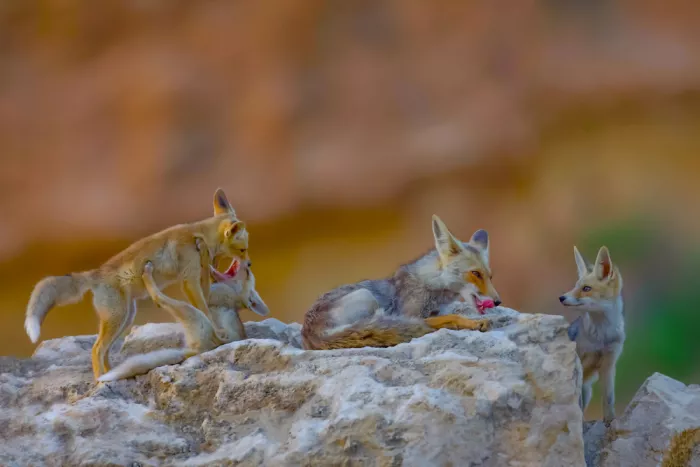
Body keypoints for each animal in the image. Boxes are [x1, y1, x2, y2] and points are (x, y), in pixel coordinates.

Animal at [25, 188, 250, 380]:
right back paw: (99, 381)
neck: (198, 234)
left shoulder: (198, 277)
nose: (249, 264)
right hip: (117, 317)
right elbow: (205, 310)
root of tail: (96, 273)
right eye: (243, 250)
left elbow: (206, 302)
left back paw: (111, 374)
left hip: (125, 318)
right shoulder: (189, 280)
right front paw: (217, 333)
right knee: (97, 349)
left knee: (105, 351)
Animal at [98, 250, 269, 382]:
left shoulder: (208, 297)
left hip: (189, 310)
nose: (249, 263)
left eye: (248, 272)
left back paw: (148, 275)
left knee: (159, 298)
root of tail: (200, 350)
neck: (234, 295)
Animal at [301, 215, 501, 350]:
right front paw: (473, 323)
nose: (498, 301)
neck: (431, 285)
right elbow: (452, 316)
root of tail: (309, 333)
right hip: (367, 297)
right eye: (475, 273)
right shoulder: (411, 314)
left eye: (490, 276)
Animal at [559, 245, 625, 424]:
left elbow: (609, 398)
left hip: (587, 390)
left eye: (586, 289)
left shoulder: (609, 363)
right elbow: (578, 405)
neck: (601, 337)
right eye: (576, 286)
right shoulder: (579, 364)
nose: (561, 297)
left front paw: (610, 421)